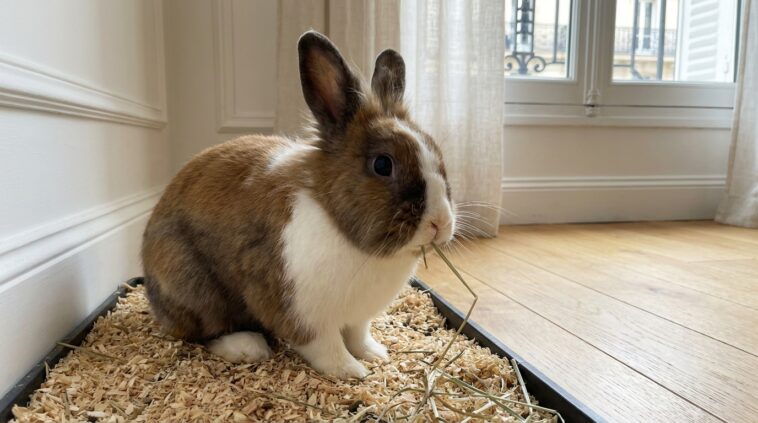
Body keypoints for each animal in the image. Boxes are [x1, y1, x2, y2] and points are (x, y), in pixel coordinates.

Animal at [141, 31, 456, 379]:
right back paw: (247, 346)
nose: (440, 223)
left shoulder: (358, 316)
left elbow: (358, 335)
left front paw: (376, 354)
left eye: (437, 153)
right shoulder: (302, 314)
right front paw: (353, 372)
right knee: (200, 332)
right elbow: (328, 349)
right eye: (383, 165)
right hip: (194, 288)